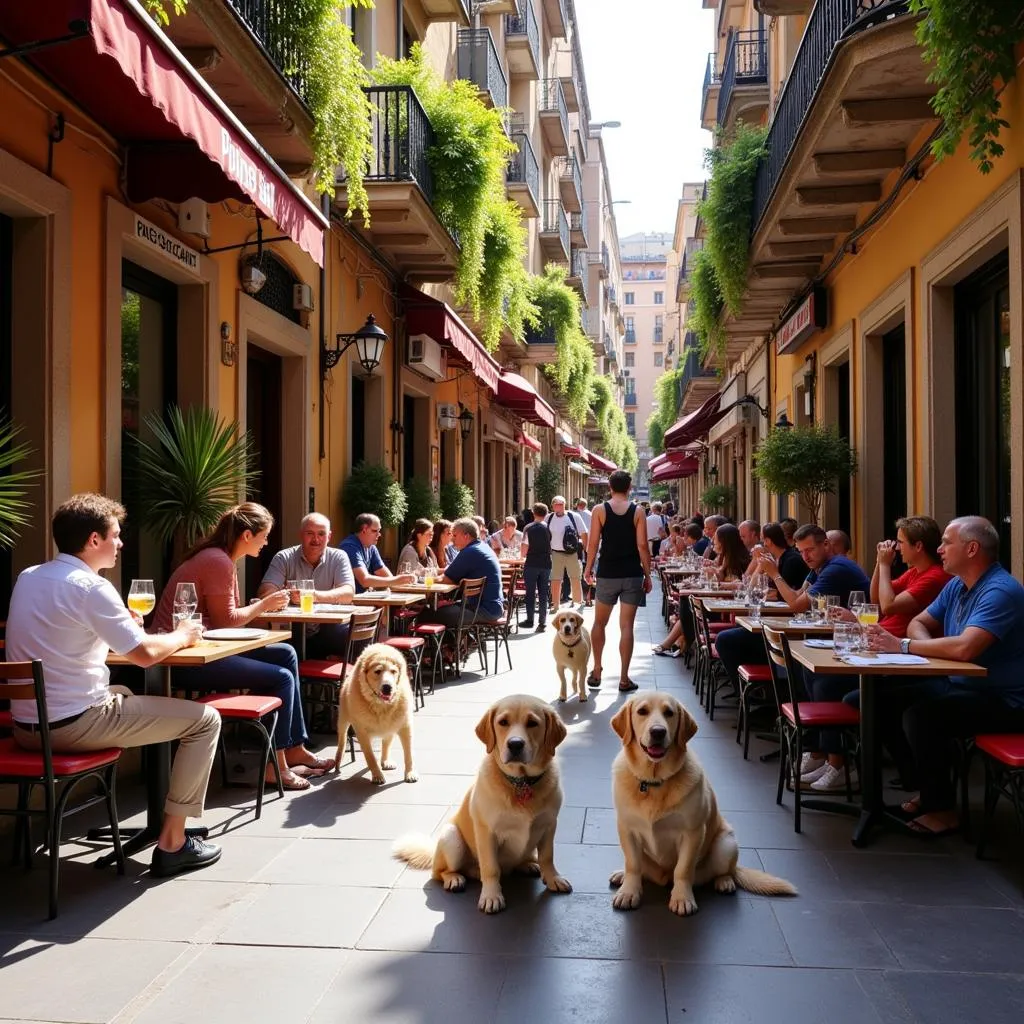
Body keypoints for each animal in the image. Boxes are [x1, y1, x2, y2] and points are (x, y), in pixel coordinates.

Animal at [335, 647, 415, 782]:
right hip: (343, 722)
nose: (387, 687)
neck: (381, 705)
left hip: (391, 726)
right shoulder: (362, 732)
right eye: (377, 671)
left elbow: (409, 754)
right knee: (342, 741)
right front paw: (377, 775)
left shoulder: (405, 726)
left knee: (386, 742)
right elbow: (370, 756)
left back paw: (385, 761)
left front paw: (410, 773)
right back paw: (337, 762)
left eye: (393, 671)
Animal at [391, 692, 573, 917]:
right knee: (440, 872)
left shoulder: (549, 825)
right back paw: (455, 879)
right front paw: (491, 896)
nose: (515, 744)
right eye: (503, 722)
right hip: (452, 838)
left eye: (533, 723)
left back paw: (527, 864)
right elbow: (491, 868)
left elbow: (547, 856)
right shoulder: (487, 832)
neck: (520, 782)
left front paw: (553, 878)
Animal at [606, 692, 798, 917]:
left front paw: (682, 898)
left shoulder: (693, 832)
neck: (654, 782)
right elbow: (633, 864)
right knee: (639, 868)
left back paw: (725, 882)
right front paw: (629, 891)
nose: (658, 732)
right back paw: (621, 874)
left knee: (725, 871)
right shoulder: (627, 829)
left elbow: (682, 869)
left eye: (669, 713)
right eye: (642, 711)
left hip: (726, 844)